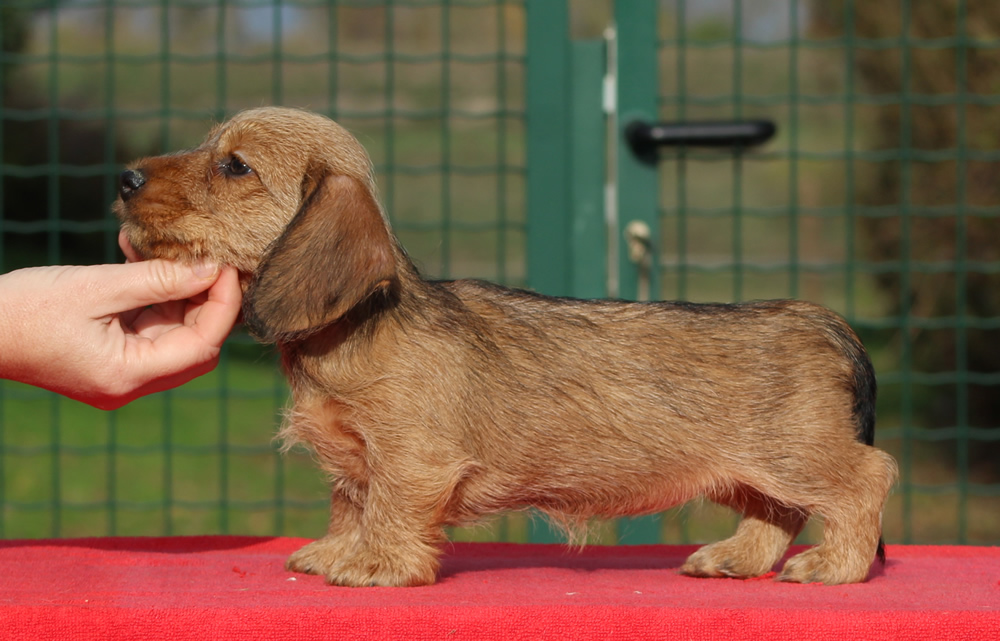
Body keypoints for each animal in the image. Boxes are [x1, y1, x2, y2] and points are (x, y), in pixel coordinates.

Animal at [115, 107, 900, 588]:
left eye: (235, 166)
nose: (123, 178)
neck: (354, 328)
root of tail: (823, 320)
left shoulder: (411, 455)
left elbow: (390, 504)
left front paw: (376, 563)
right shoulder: (357, 457)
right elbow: (351, 499)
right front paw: (339, 549)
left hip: (798, 452)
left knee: (868, 478)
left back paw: (836, 564)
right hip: (752, 467)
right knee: (776, 511)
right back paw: (738, 555)